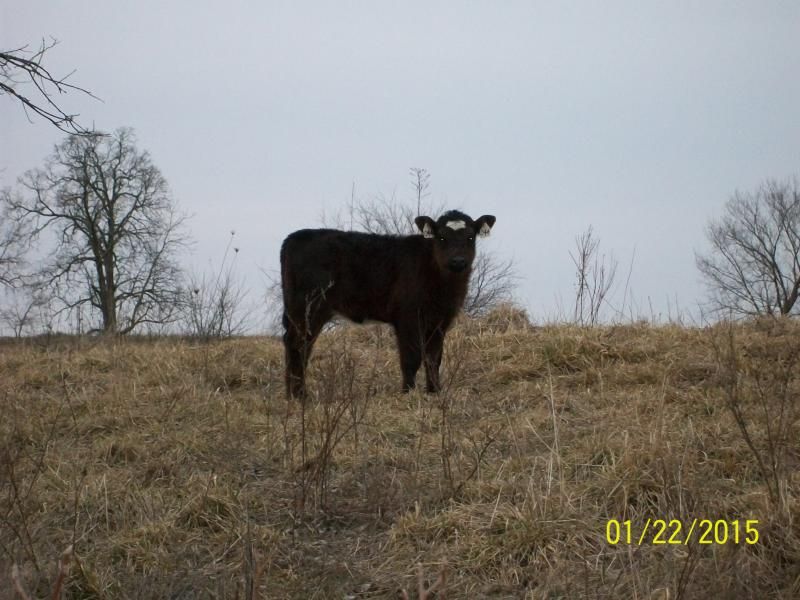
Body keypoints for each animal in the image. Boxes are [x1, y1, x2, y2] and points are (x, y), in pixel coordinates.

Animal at [280, 210, 496, 399]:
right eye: (441, 237)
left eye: (470, 237)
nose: (458, 261)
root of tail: (294, 237)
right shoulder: (407, 317)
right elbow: (411, 358)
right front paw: (407, 393)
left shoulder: (440, 321)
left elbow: (434, 358)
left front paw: (434, 392)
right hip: (308, 307)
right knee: (299, 345)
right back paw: (300, 396)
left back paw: (292, 395)